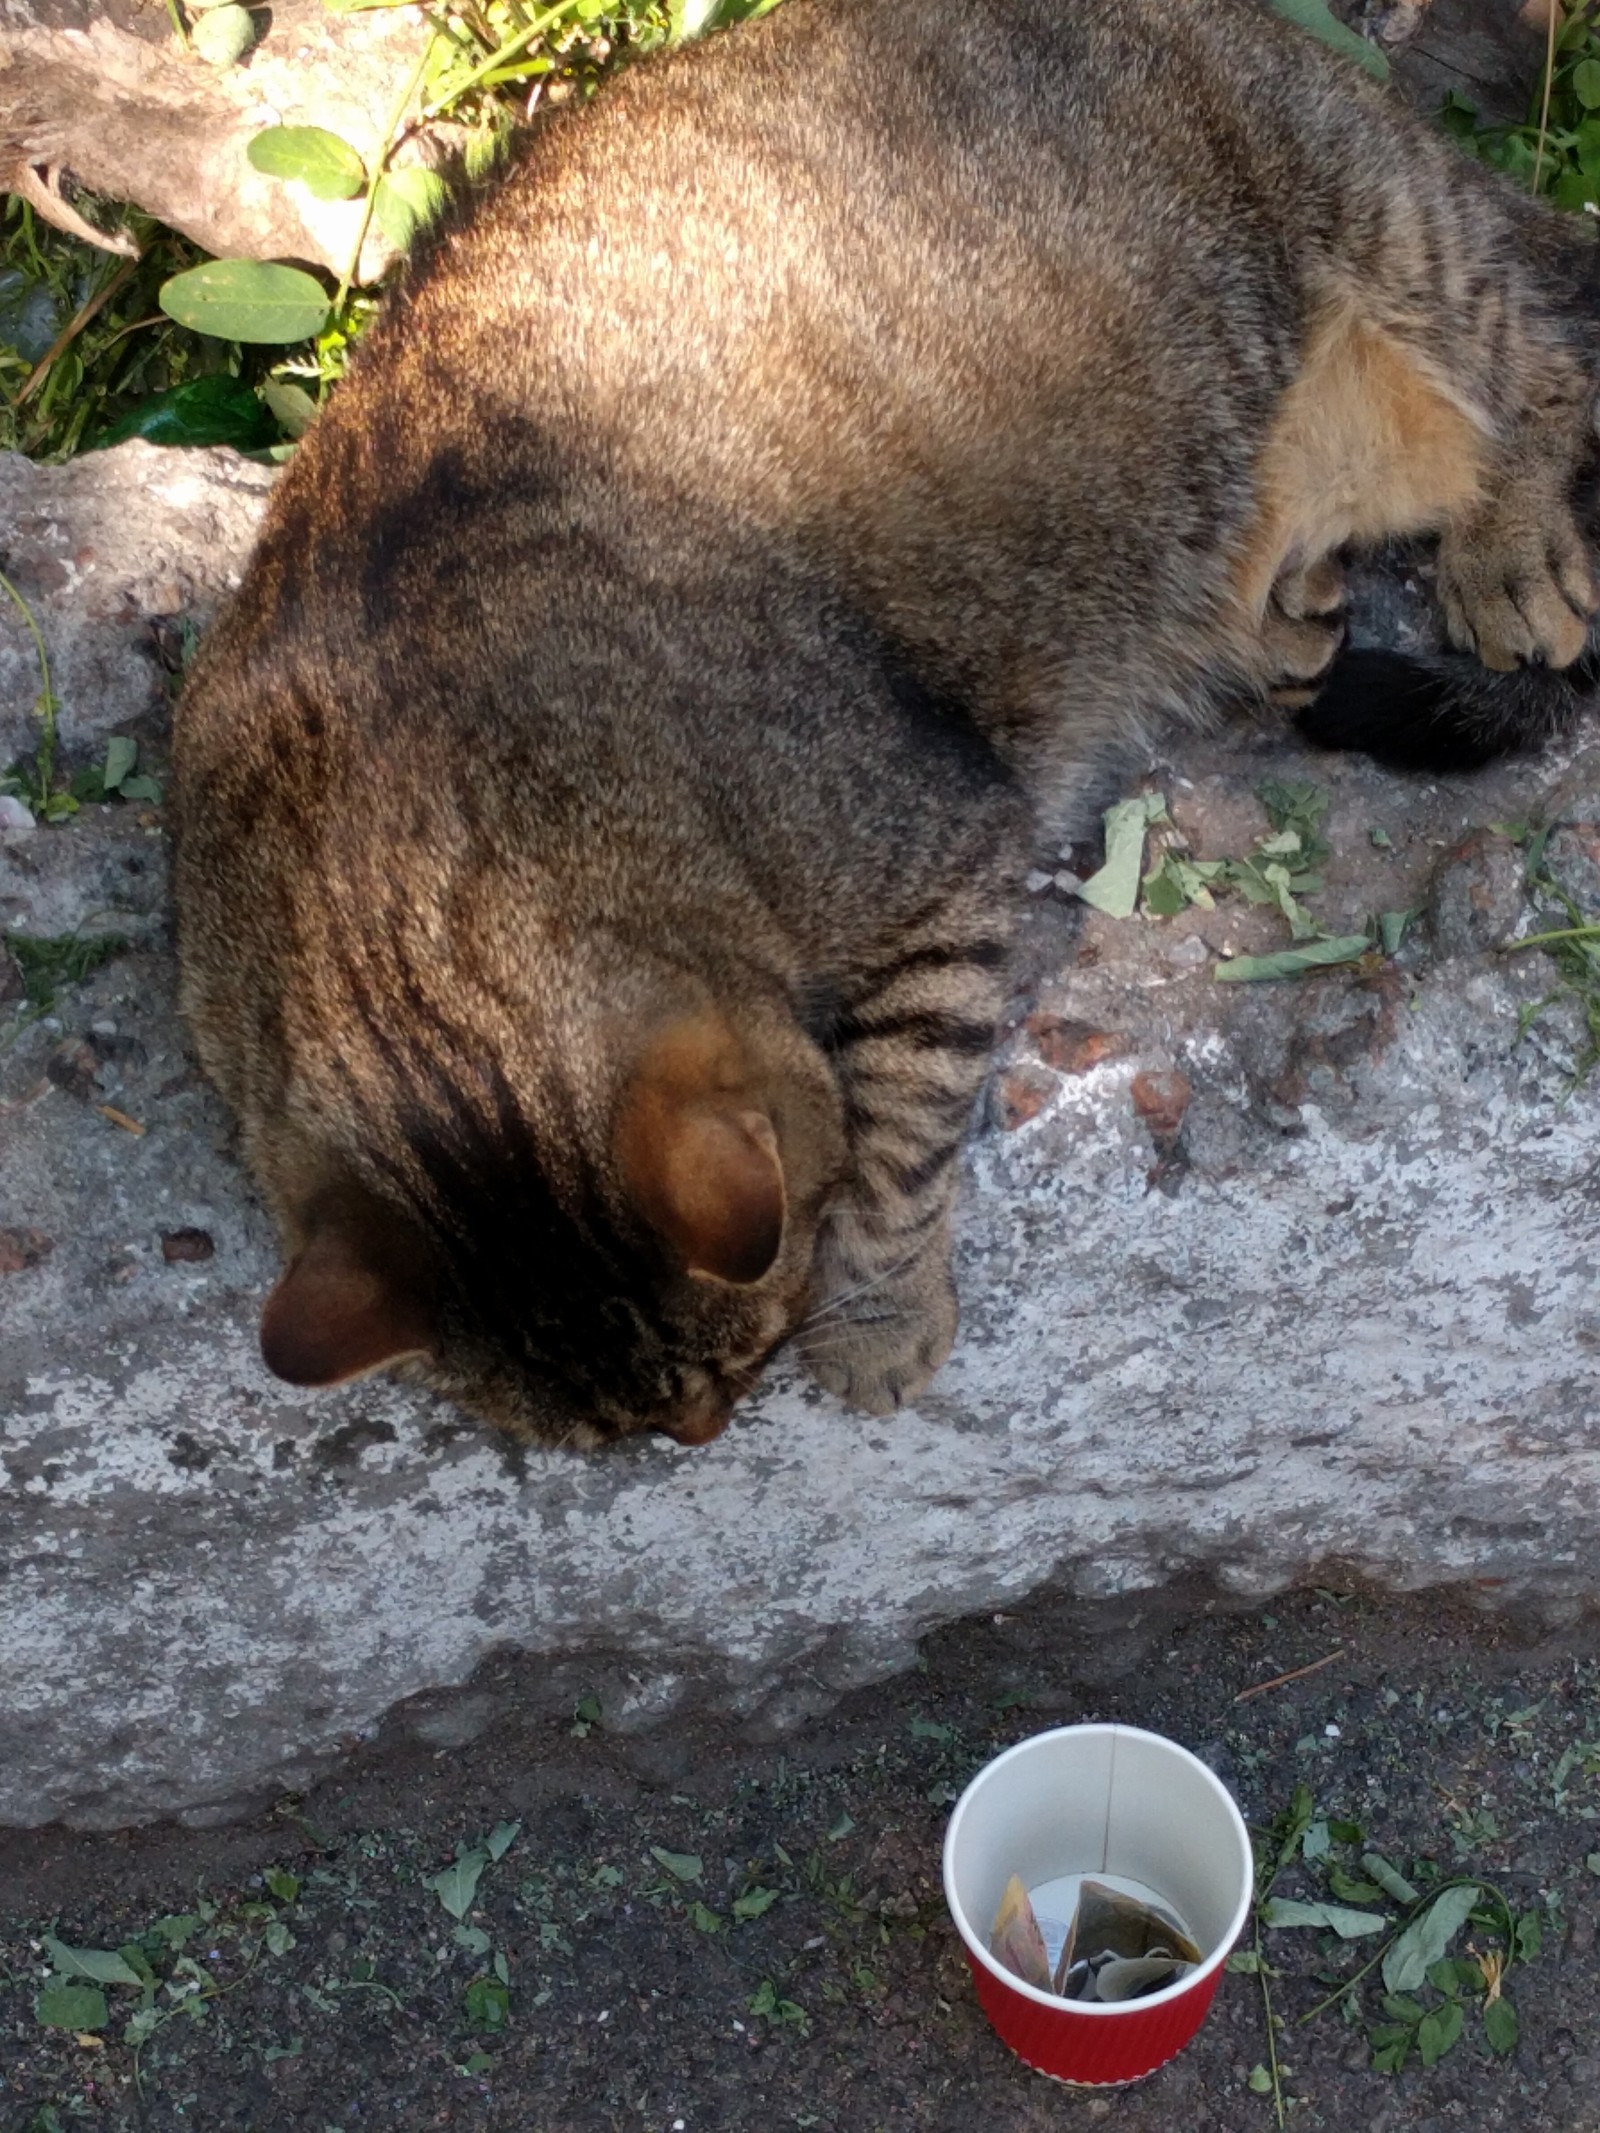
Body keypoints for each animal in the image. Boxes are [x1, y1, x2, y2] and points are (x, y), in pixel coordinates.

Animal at [172, 0, 1600, 1450]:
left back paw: (1508, 554)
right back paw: (1282, 611)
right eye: (608, 1439)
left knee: (1551, 369)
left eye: (741, 1368)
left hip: (1385, 220)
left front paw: (874, 1312)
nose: (701, 1443)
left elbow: (899, 1119)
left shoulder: (944, 852)